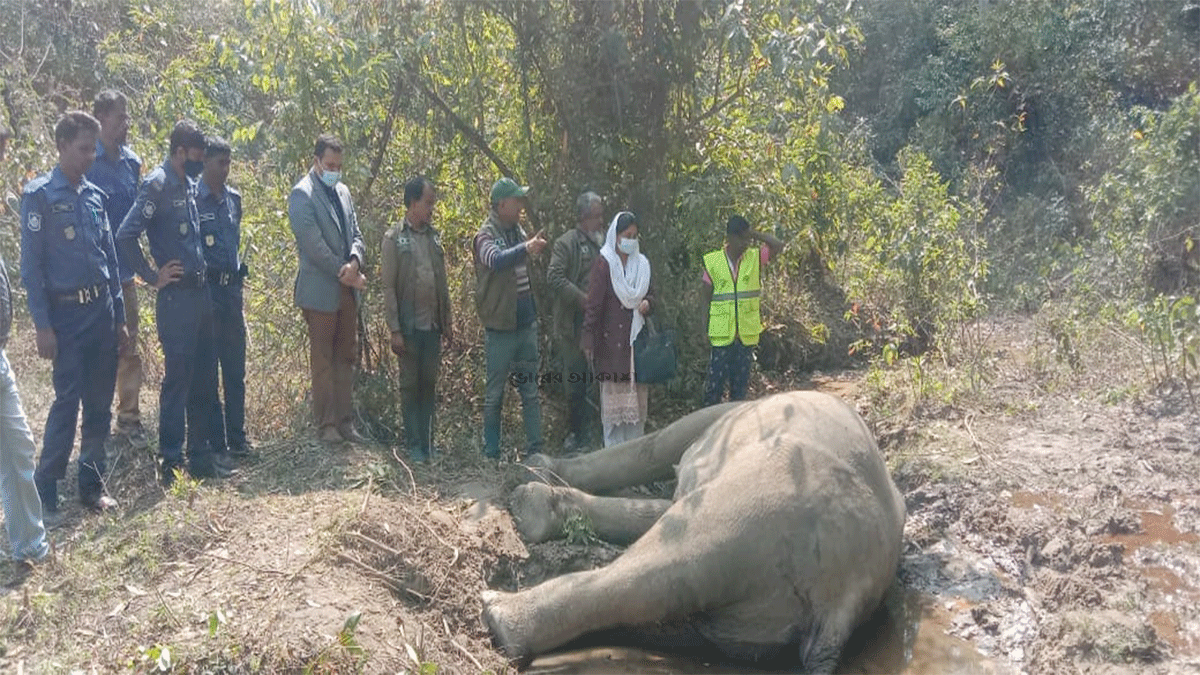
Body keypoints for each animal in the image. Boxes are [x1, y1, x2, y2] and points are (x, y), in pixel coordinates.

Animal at [482, 389, 902, 667]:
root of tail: (844, 598)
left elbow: (659, 445)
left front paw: (531, 472)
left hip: (758, 509)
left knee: (663, 564)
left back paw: (498, 610)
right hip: (760, 615)